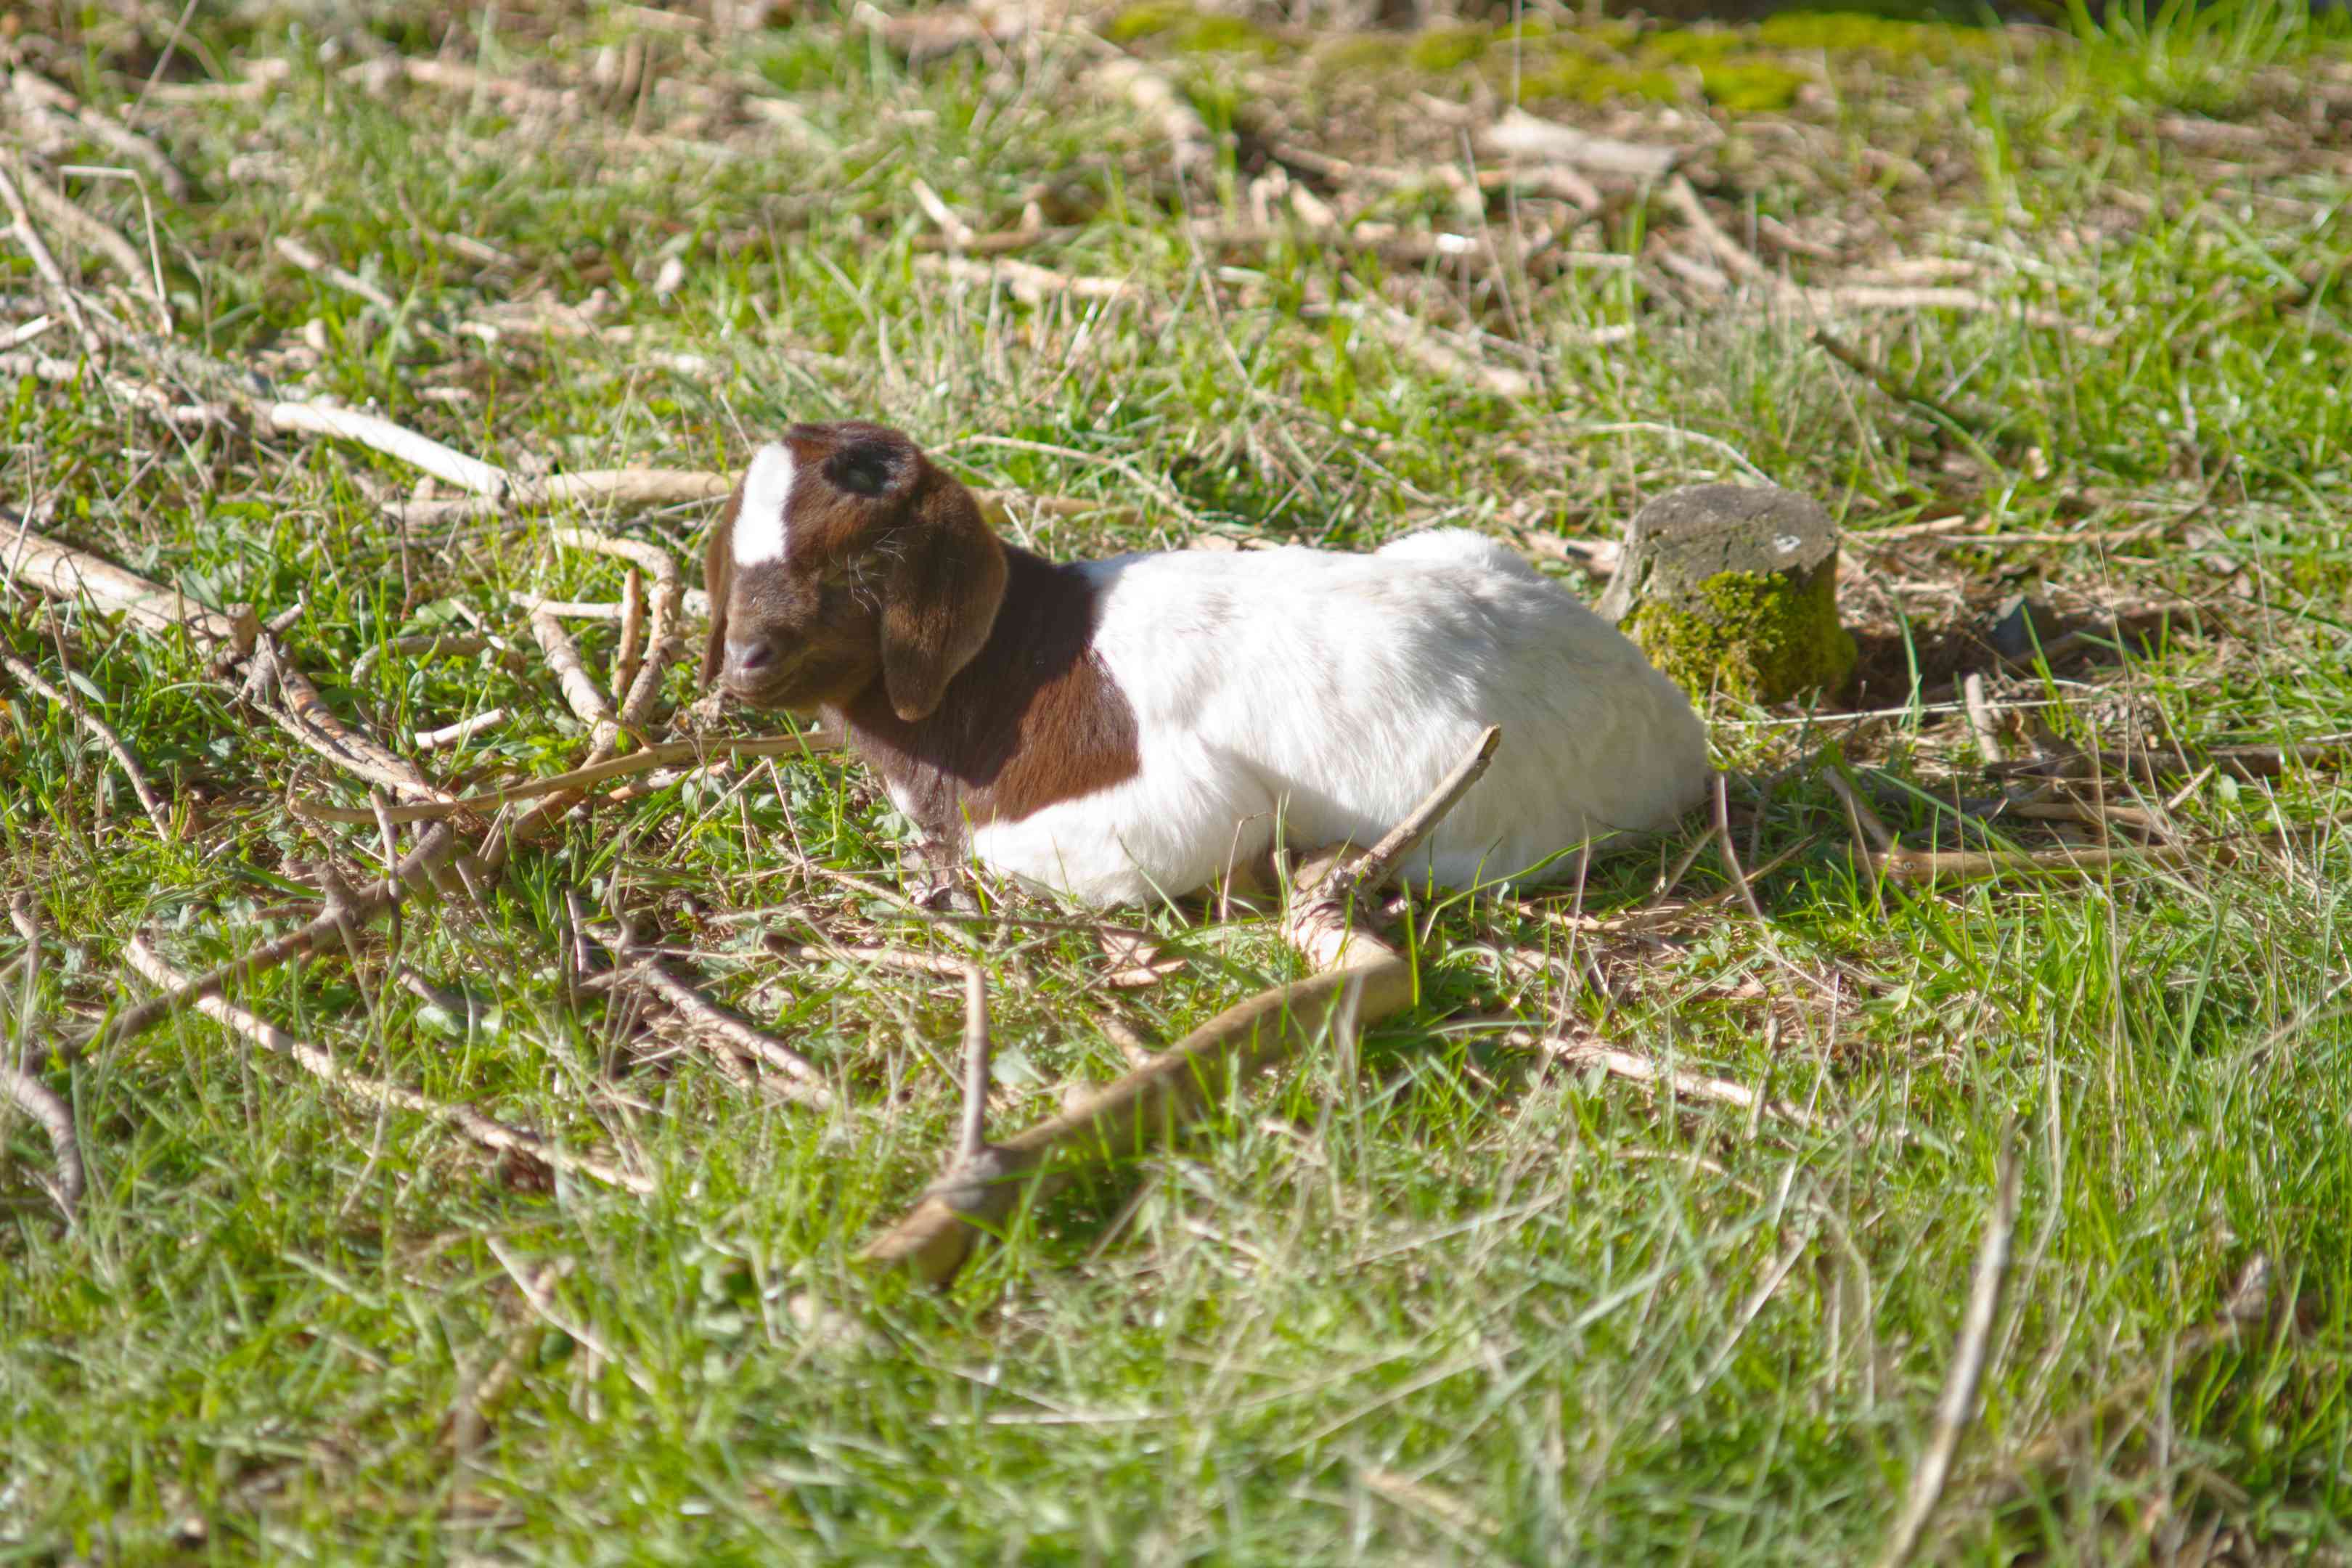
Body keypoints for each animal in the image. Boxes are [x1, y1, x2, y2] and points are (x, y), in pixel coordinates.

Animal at [696, 420, 1712, 907]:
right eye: (734, 564)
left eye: (862, 569)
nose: (744, 659)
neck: (1011, 670)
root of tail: (1672, 731)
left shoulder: (1171, 808)